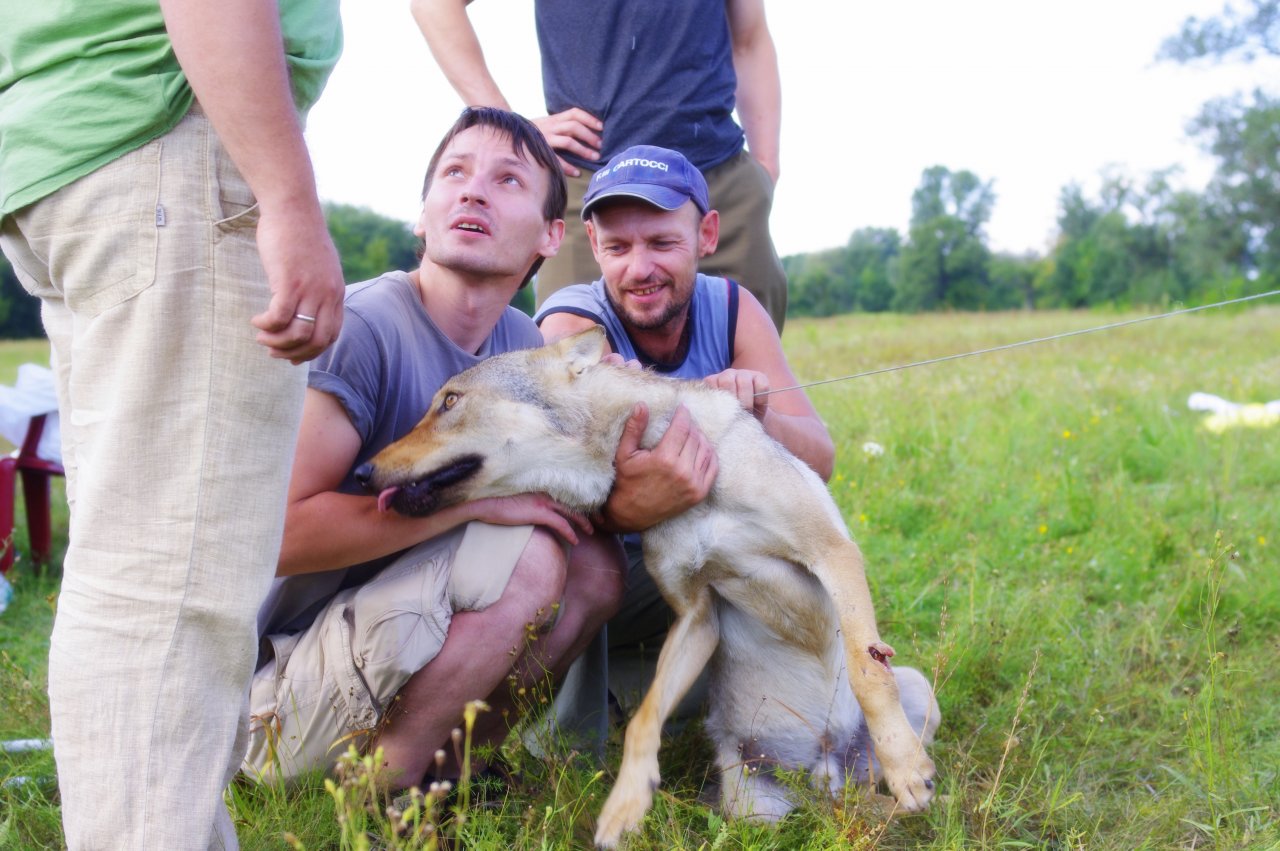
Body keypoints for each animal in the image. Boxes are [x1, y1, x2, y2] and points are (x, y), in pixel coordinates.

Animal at [357, 327, 939, 847]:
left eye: (450, 401)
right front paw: (624, 806)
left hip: (917, 693)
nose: (362, 471)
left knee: (886, 769)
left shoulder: (833, 555)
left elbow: (868, 672)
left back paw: (917, 782)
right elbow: (642, 721)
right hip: (755, 809)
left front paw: (905, 766)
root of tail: (824, 771)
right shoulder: (697, 617)